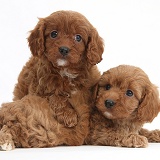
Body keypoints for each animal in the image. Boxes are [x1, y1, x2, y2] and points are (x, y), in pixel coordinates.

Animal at [0, 10, 104, 150]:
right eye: (54, 34)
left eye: (78, 37)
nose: (64, 49)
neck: (66, 71)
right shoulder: (39, 89)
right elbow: (55, 96)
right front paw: (69, 116)